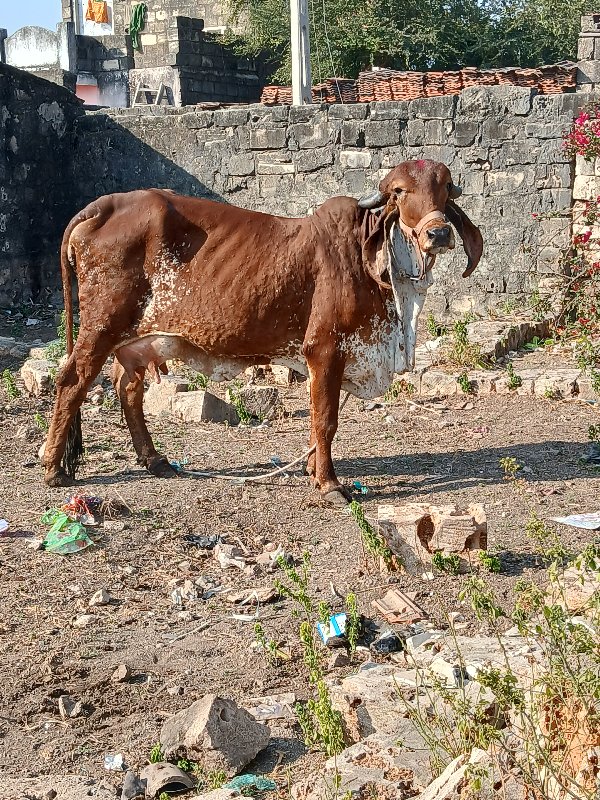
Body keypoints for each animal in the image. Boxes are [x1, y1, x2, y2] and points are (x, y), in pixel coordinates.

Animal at [43, 159, 482, 504]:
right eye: (400, 190)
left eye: (445, 187)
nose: (439, 234)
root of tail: (104, 204)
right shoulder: (324, 349)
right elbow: (326, 419)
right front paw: (329, 483)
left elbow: (323, 418)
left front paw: (311, 467)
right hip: (101, 325)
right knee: (72, 381)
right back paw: (54, 468)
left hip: (136, 340)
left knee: (127, 387)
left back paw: (153, 459)